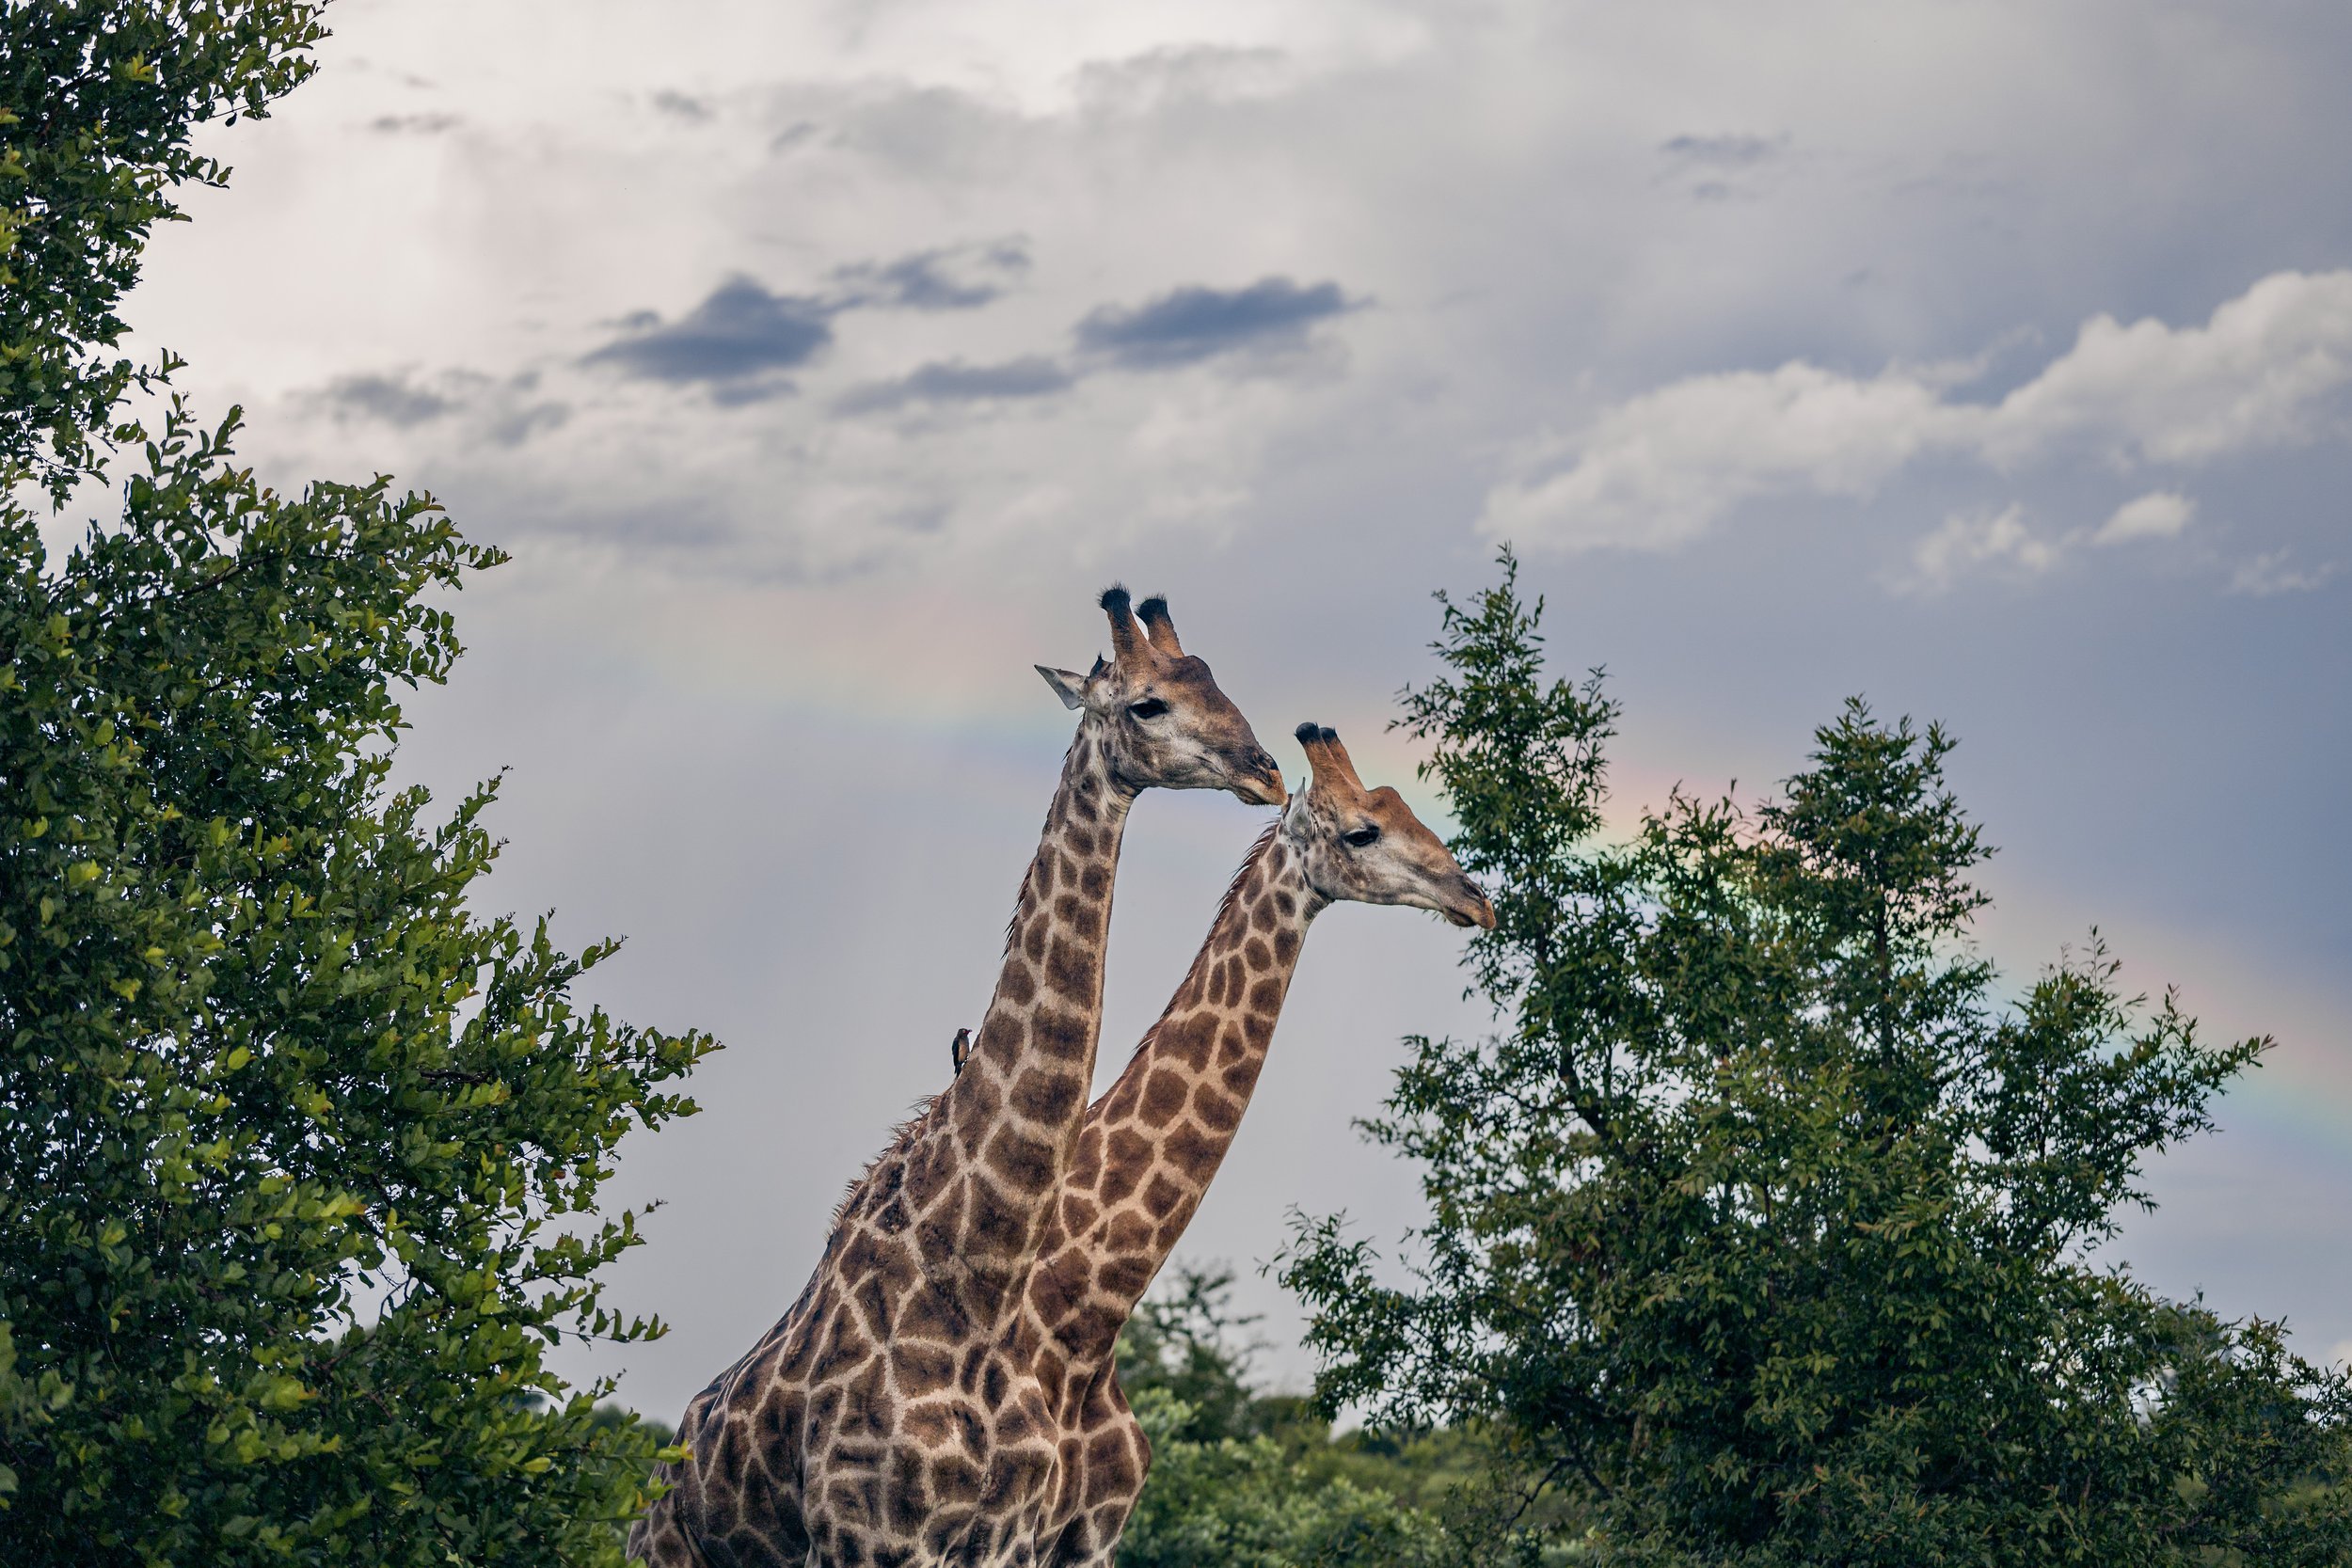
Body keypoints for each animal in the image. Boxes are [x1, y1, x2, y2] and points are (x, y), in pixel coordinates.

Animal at [630, 589, 1285, 1568]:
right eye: (1148, 705)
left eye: (1214, 680)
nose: (1268, 771)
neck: (967, 1272)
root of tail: (654, 1486)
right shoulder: (873, 1536)